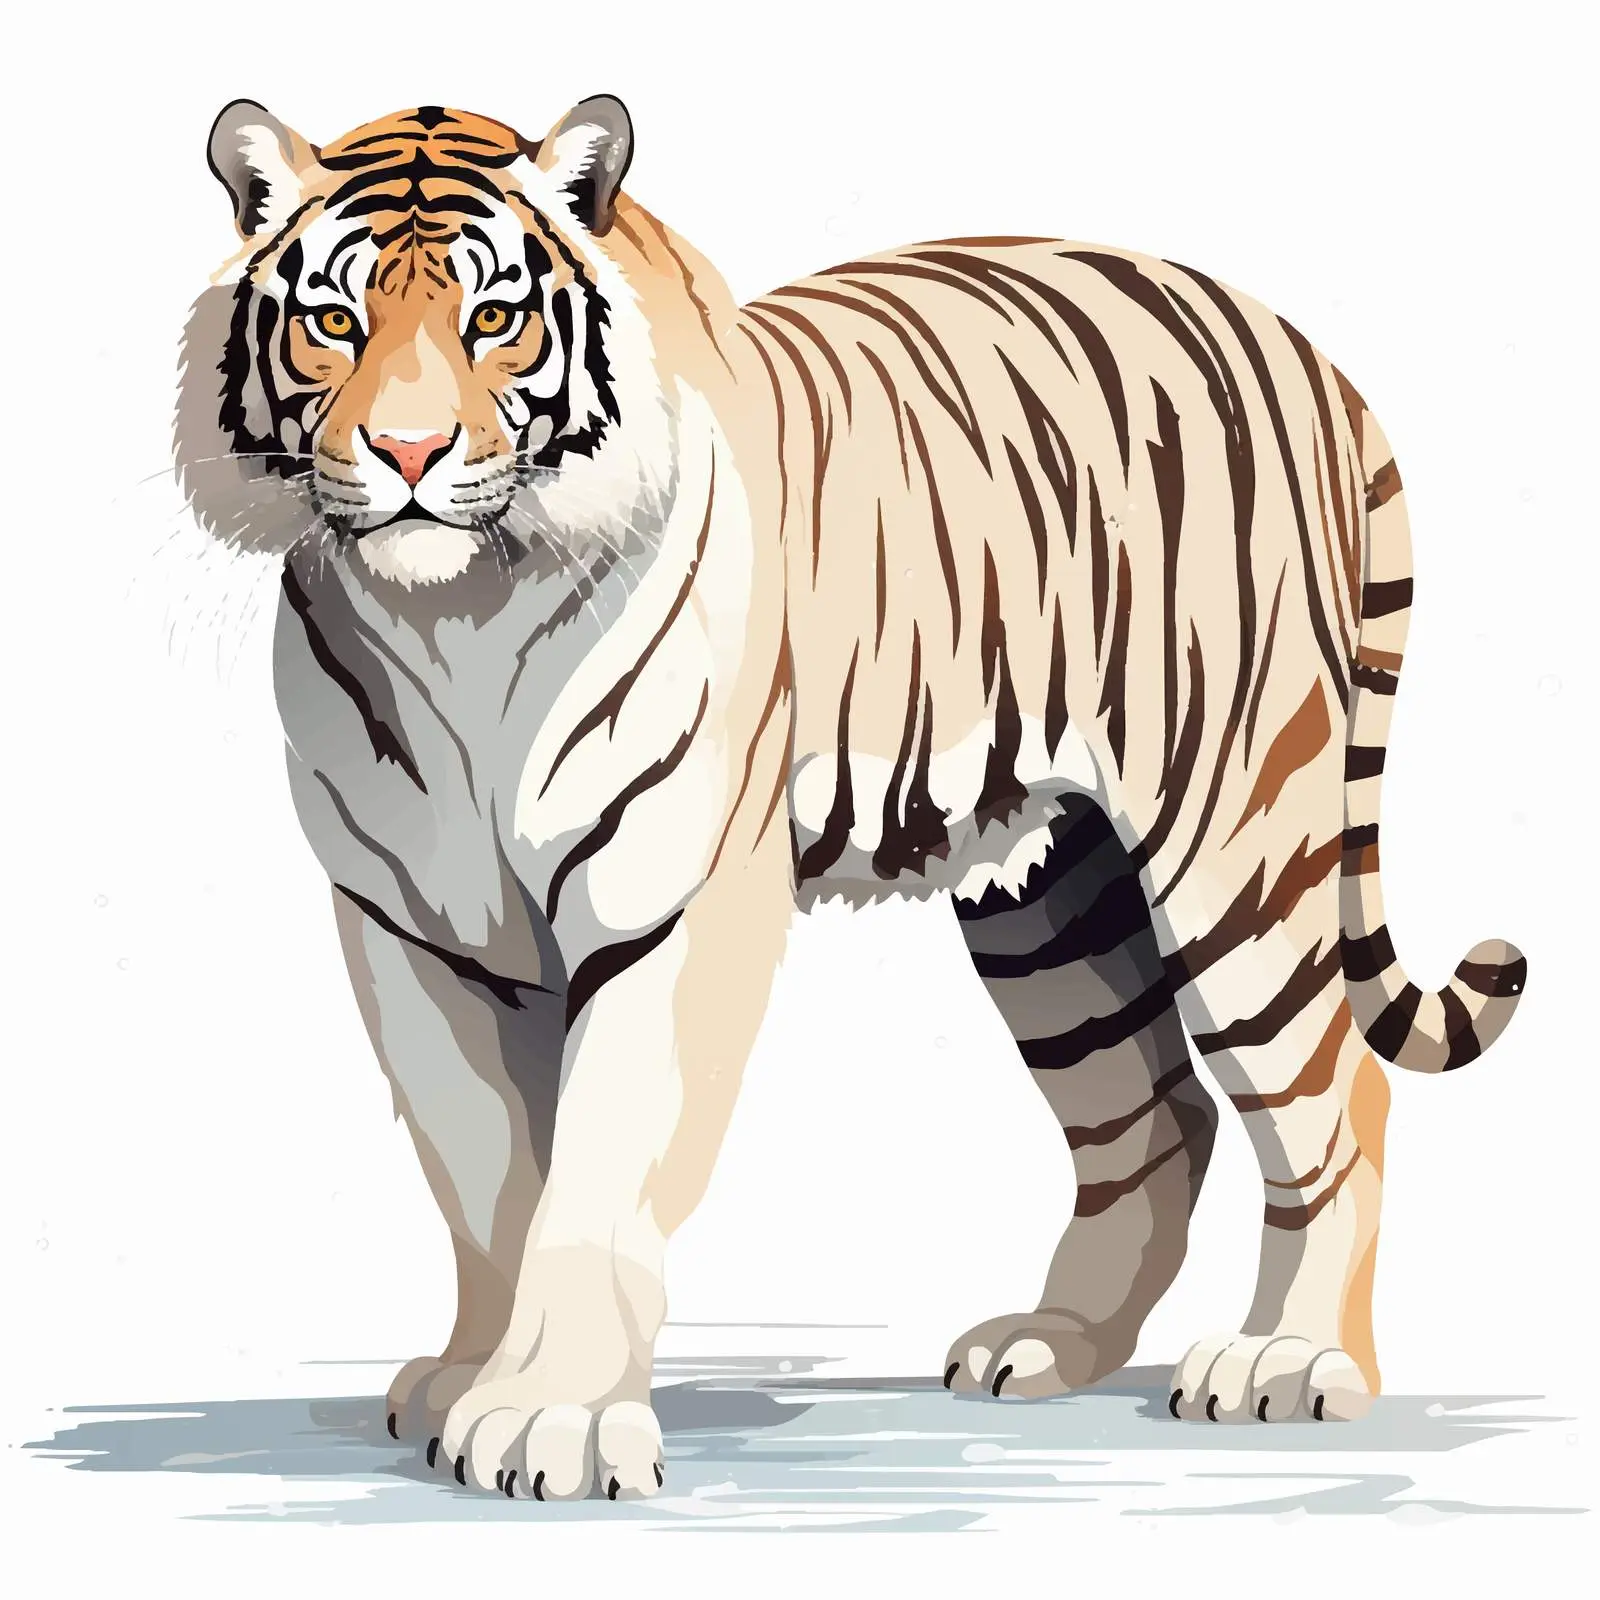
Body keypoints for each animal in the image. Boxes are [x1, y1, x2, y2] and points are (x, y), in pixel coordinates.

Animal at [177, 93, 1526, 1501]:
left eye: (496, 318)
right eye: (336, 322)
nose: (407, 449)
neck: (453, 617)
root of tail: (1303, 348)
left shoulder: (670, 905)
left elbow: (597, 1173)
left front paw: (554, 1421)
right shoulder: (415, 928)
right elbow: (485, 1175)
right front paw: (466, 1382)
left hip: (1237, 844)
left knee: (1333, 1098)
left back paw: (1292, 1362)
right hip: (1053, 901)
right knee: (1157, 1112)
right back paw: (1052, 1343)